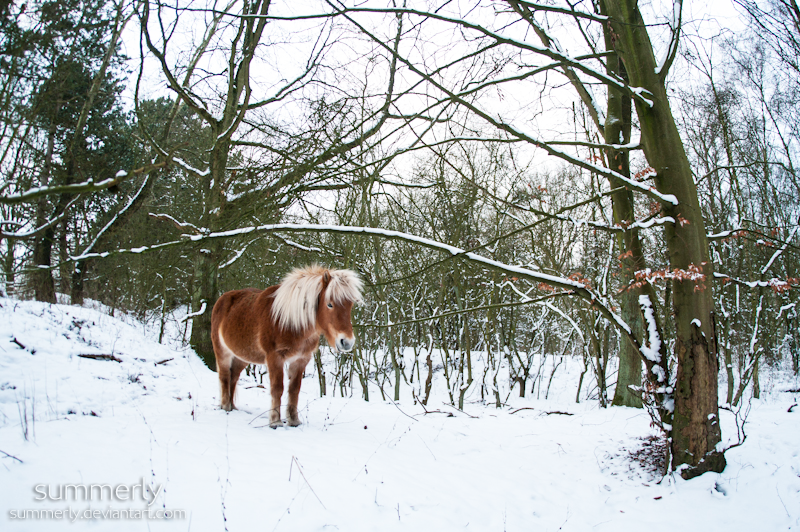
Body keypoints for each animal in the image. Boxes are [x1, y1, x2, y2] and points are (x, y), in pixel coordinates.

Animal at [212, 266, 362, 428]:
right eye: (330, 304)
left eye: (350, 305)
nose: (347, 342)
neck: (289, 322)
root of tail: (222, 299)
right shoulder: (275, 357)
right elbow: (277, 388)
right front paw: (275, 421)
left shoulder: (301, 360)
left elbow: (294, 390)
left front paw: (294, 420)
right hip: (223, 352)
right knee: (224, 377)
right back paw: (226, 406)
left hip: (242, 356)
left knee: (233, 377)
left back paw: (232, 406)